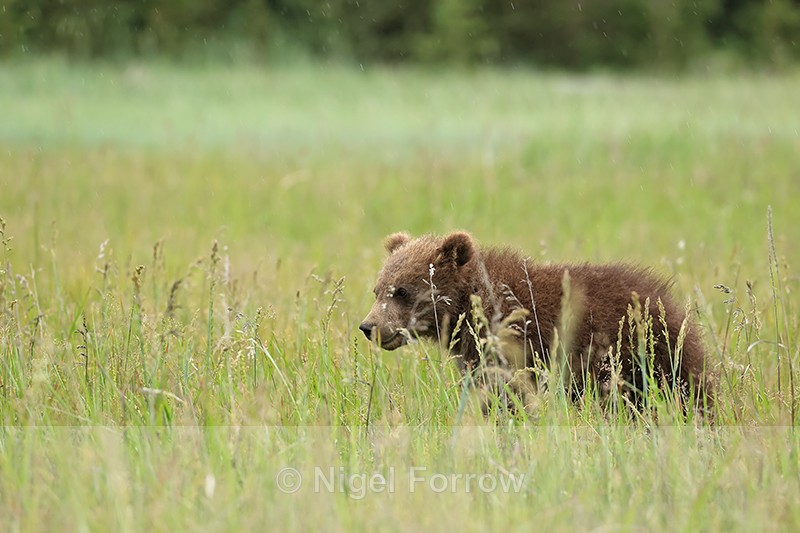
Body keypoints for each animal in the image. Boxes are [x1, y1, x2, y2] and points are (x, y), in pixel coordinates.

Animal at [359, 231, 712, 412]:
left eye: (401, 291)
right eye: (377, 289)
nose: (369, 326)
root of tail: (667, 298)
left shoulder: (520, 342)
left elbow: (508, 392)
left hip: (641, 351)